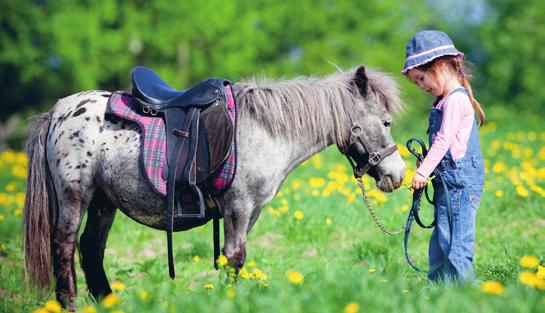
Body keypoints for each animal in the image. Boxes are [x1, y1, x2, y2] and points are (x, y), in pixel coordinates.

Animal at [23, 66, 406, 310]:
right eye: (386, 122)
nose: (398, 175)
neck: (265, 131)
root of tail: (58, 112)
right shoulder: (238, 206)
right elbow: (235, 257)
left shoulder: (250, 212)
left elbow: (229, 258)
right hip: (75, 195)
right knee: (64, 247)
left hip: (104, 201)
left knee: (91, 249)